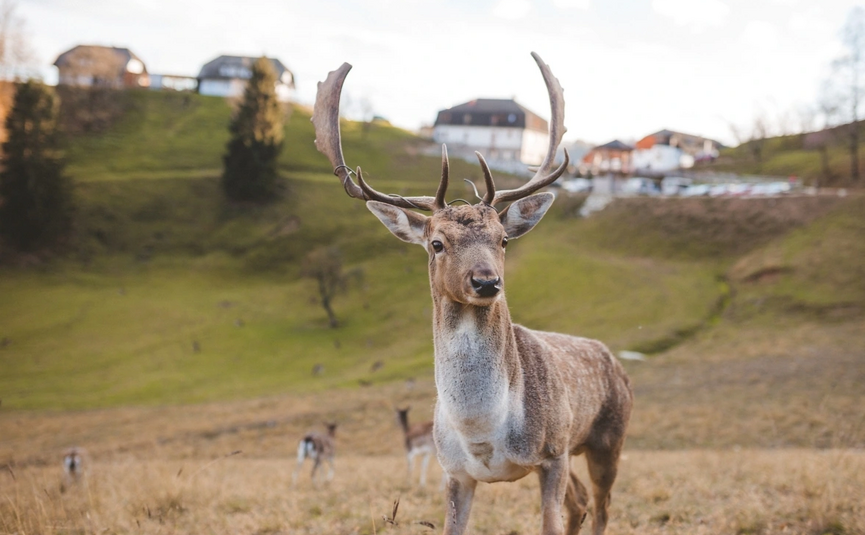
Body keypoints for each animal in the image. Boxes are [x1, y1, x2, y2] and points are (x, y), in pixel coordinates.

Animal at [312, 52, 633, 535]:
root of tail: (616, 363)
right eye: (436, 243)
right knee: (580, 502)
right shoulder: (454, 470)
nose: (486, 282)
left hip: (607, 437)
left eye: (503, 239)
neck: (482, 433)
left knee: (602, 506)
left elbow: (551, 524)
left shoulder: (552, 452)